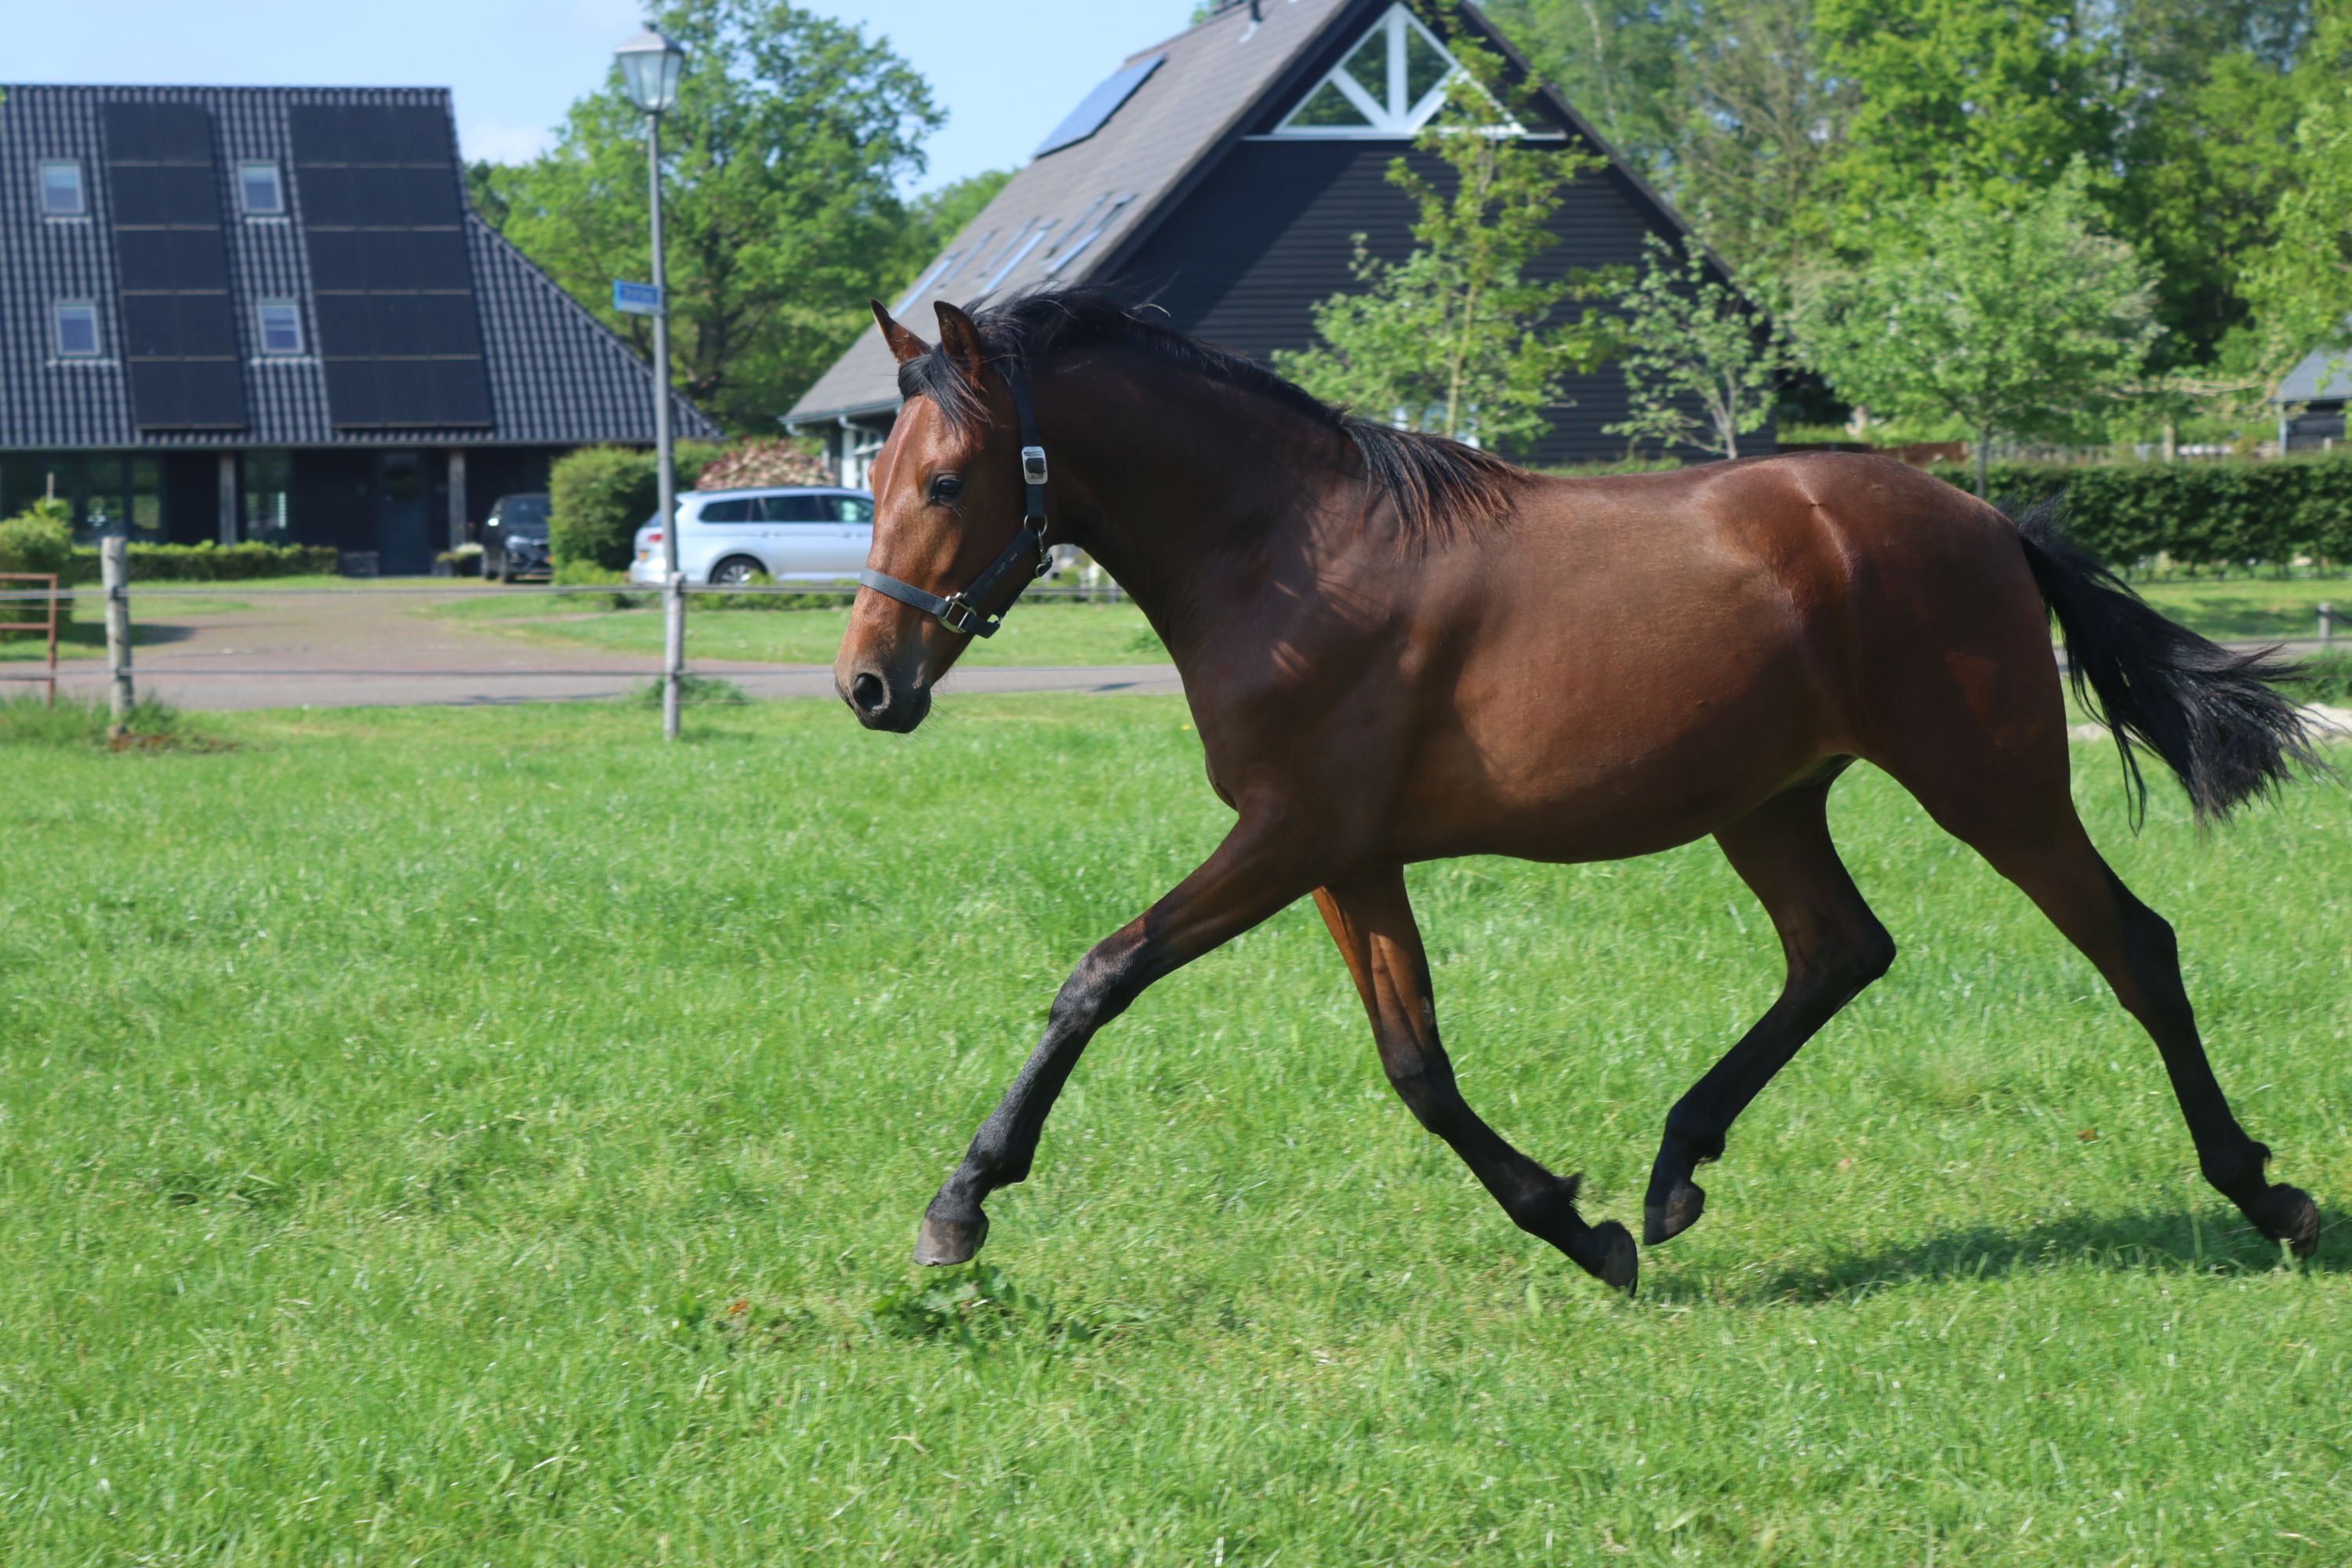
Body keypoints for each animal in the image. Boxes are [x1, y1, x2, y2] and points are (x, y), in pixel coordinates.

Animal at [835, 287, 2325, 1295]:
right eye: (876, 474)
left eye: (949, 481)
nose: (867, 686)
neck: (1285, 554)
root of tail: (1987, 519)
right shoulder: (1346, 856)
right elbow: (1418, 1066)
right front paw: (1584, 1228)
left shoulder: (1288, 836)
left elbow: (1100, 975)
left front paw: (962, 1202)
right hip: (1768, 801)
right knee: (1840, 951)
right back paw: (1673, 1174)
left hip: (1990, 781)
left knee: (2134, 944)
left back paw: (2266, 1194)